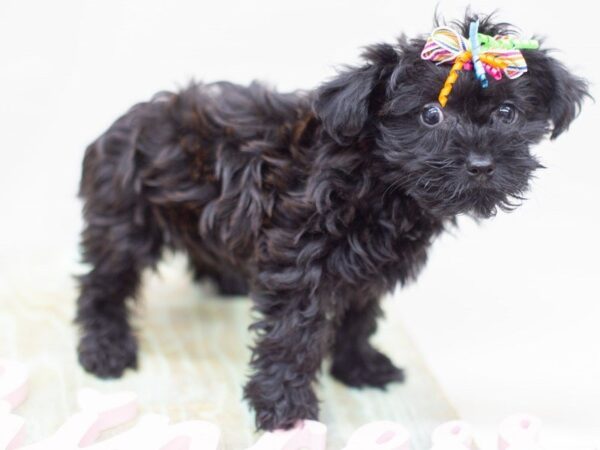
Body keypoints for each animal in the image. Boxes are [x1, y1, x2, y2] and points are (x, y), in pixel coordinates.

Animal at [75, 13, 584, 428]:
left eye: (507, 113)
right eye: (430, 115)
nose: (482, 163)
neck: (381, 184)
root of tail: (122, 124)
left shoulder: (369, 272)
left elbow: (359, 319)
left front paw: (358, 367)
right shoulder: (300, 268)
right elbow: (292, 338)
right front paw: (285, 410)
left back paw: (227, 279)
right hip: (125, 223)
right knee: (102, 285)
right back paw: (105, 348)